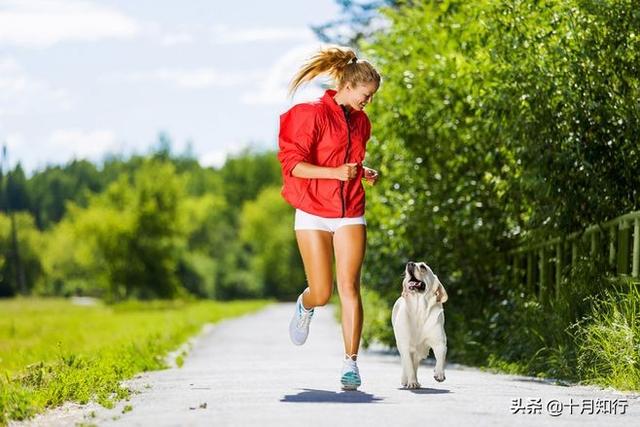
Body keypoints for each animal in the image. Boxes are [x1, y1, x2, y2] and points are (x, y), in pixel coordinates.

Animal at [392, 262, 448, 390]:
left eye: (423, 266)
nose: (409, 264)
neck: (419, 310)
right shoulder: (405, 346)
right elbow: (409, 366)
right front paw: (412, 382)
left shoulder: (439, 342)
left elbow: (441, 357)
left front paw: (439, 373)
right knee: (407, 364)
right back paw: (407, 380)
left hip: (421, 352)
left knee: (415, 363)